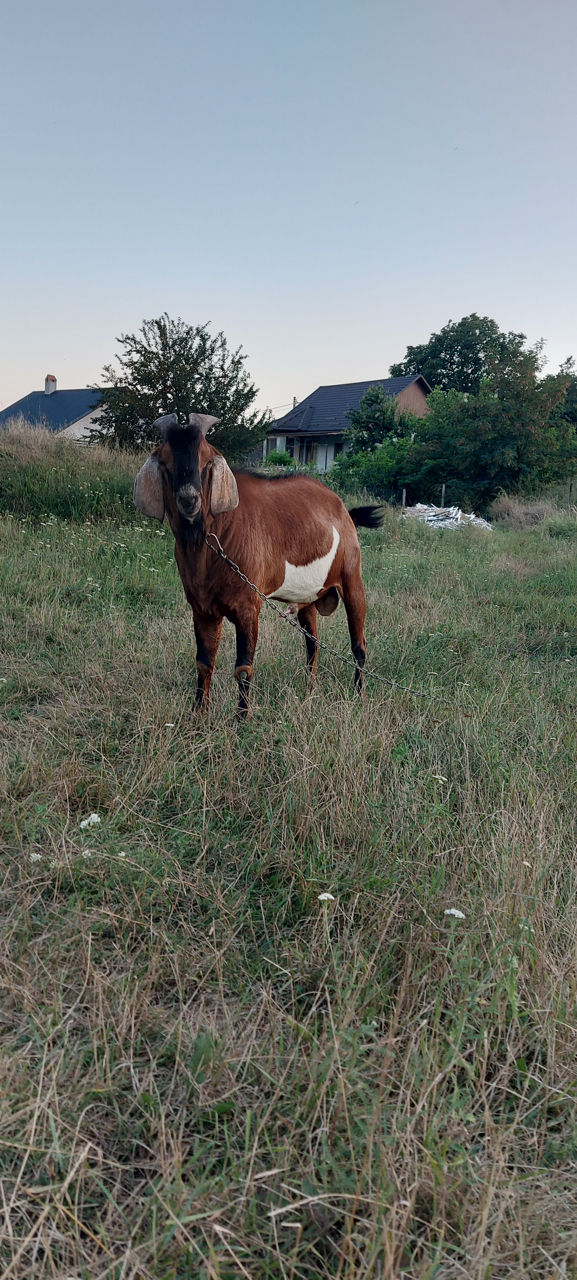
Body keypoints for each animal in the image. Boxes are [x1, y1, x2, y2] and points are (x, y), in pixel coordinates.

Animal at [134, 417, 383, 721]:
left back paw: (359, 695)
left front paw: (241, 720)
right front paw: (198, 713)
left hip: (352, 579)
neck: (217, 535)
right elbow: (204, 662)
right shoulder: (202, 609)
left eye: (206, 463)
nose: (189, 500)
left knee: (358, 644)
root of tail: (343, 509)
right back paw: (309, 690)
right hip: (308, 599)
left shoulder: (248, 606)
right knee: (312, 643)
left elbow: (243, 668)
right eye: (166, 465)